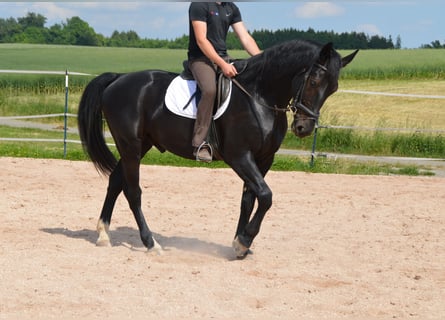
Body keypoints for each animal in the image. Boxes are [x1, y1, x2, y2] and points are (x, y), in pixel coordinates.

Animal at [77, 40, 358, 258]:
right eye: (313, 81)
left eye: (332, 88)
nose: (303, 127)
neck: (259, 97)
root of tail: (118, 79)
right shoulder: (240, 157)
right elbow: (266, 196)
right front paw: (243, 241)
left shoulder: (263, 159)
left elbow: (249, 199)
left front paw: (241, 244)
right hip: (131, 146)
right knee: (133, 191)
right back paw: (150, 243)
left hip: (140, 145)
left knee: (115, 181)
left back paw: (103, 235)